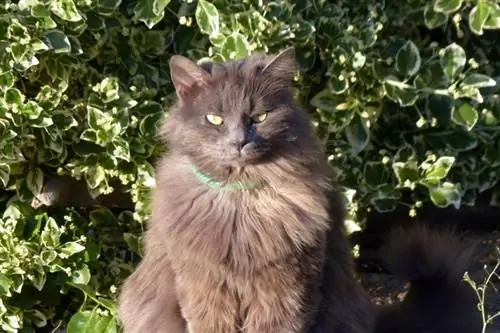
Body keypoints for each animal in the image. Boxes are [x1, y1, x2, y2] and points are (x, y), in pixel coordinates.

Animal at [118, 47, 376, 332]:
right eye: (215, 119)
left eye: (260, 117)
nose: (239, 141)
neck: (240, 198)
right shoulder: (204, 287)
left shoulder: (287, 289)